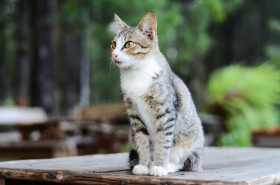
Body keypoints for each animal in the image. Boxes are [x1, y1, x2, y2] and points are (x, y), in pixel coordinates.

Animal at [110, 12, 205, 176]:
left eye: (129, 44)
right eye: (114, 44)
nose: (114, 55)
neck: (137, 73)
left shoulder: (166, 111)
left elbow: (163, 141)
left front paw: (160, 166)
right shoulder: (135, 114)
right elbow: (142, 141)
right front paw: (144, 165)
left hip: (189, 141)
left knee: (183, 161)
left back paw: (168, 166)